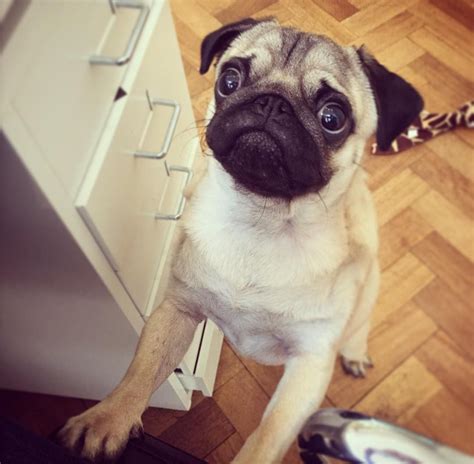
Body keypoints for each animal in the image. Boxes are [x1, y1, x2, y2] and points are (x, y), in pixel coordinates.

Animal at [57, 16, 424, 462]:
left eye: (332, 117)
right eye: (229, 80)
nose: (271, 103)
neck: (260, 222)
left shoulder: (309, 365)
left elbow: (267, 435)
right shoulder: (177, 310)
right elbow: (141, 371)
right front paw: (107, 419)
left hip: (367, 290)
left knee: (359, 325)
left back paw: (354, 355)